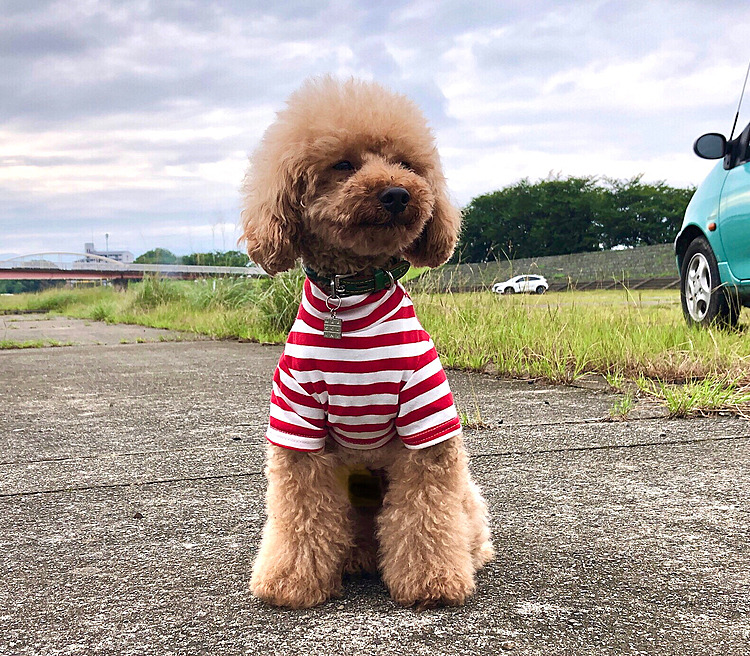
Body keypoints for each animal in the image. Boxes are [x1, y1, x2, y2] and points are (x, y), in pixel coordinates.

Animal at [241, 78, 496, 608]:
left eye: (407, 164)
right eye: (343, 164)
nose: (398, 193)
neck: (352, 294)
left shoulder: (426, 419)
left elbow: (425, 515)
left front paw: (433, 581)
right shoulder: (298, 424)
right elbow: (301, 515)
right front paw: (290, 581)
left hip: (461, 492)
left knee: (460, 518)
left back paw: (471, 553)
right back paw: (356, 560)